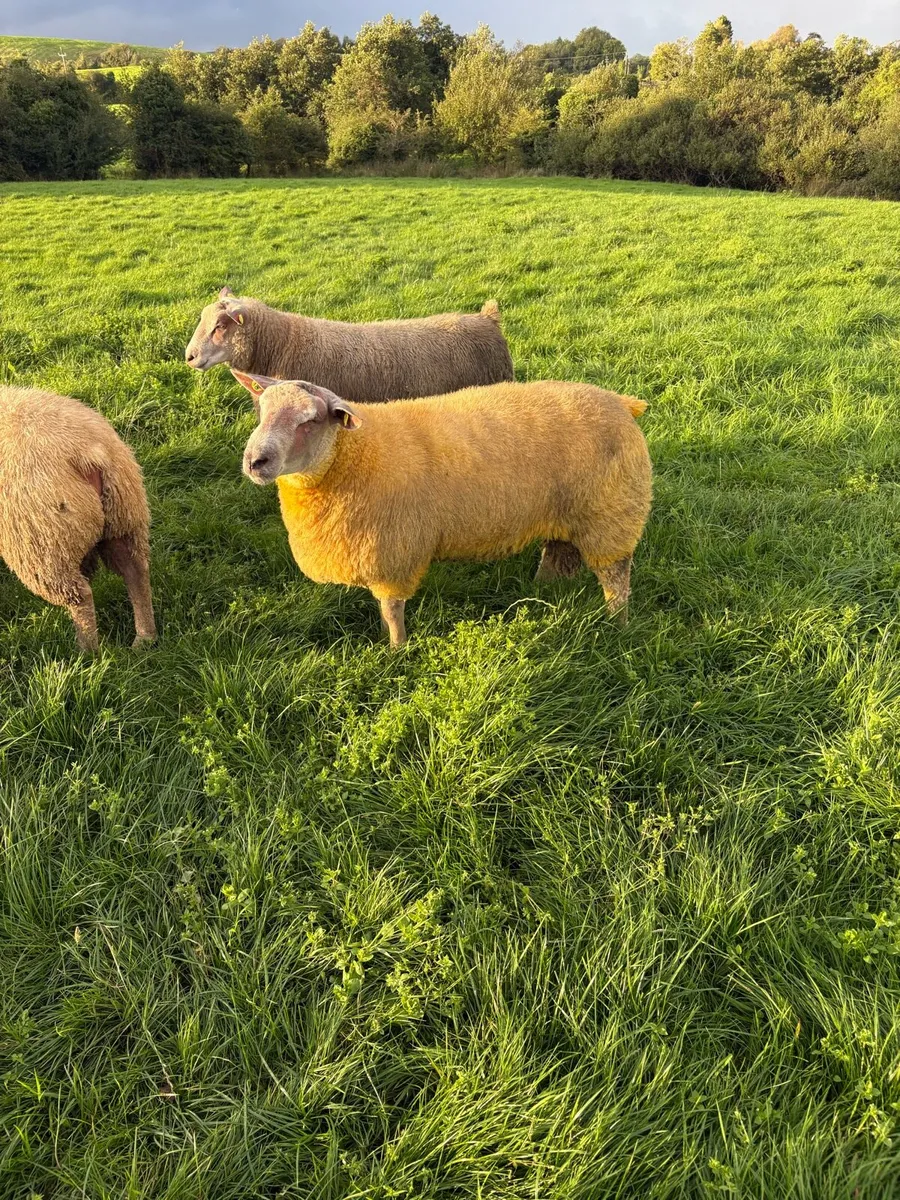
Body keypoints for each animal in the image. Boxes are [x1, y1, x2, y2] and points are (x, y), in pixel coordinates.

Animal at [0, 387, 156, 652]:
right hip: (123, 517)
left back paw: (86, 652)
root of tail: (87, 452)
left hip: (43, 545)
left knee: (81, 595)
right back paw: (145, 638)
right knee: (135, 571)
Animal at [232, 368, 651, 648]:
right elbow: (383, 609)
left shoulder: (394, 554)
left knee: (616, 580)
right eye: (261, 411)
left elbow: (392, 610)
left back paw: (617, 627)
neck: (352, 455)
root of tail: (621, 403)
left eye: (311, 420)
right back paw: (544, 589)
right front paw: (386, 640)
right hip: (566, 509)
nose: (255, 462)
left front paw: (396, 651)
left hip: (612, 514)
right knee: (559, 552)